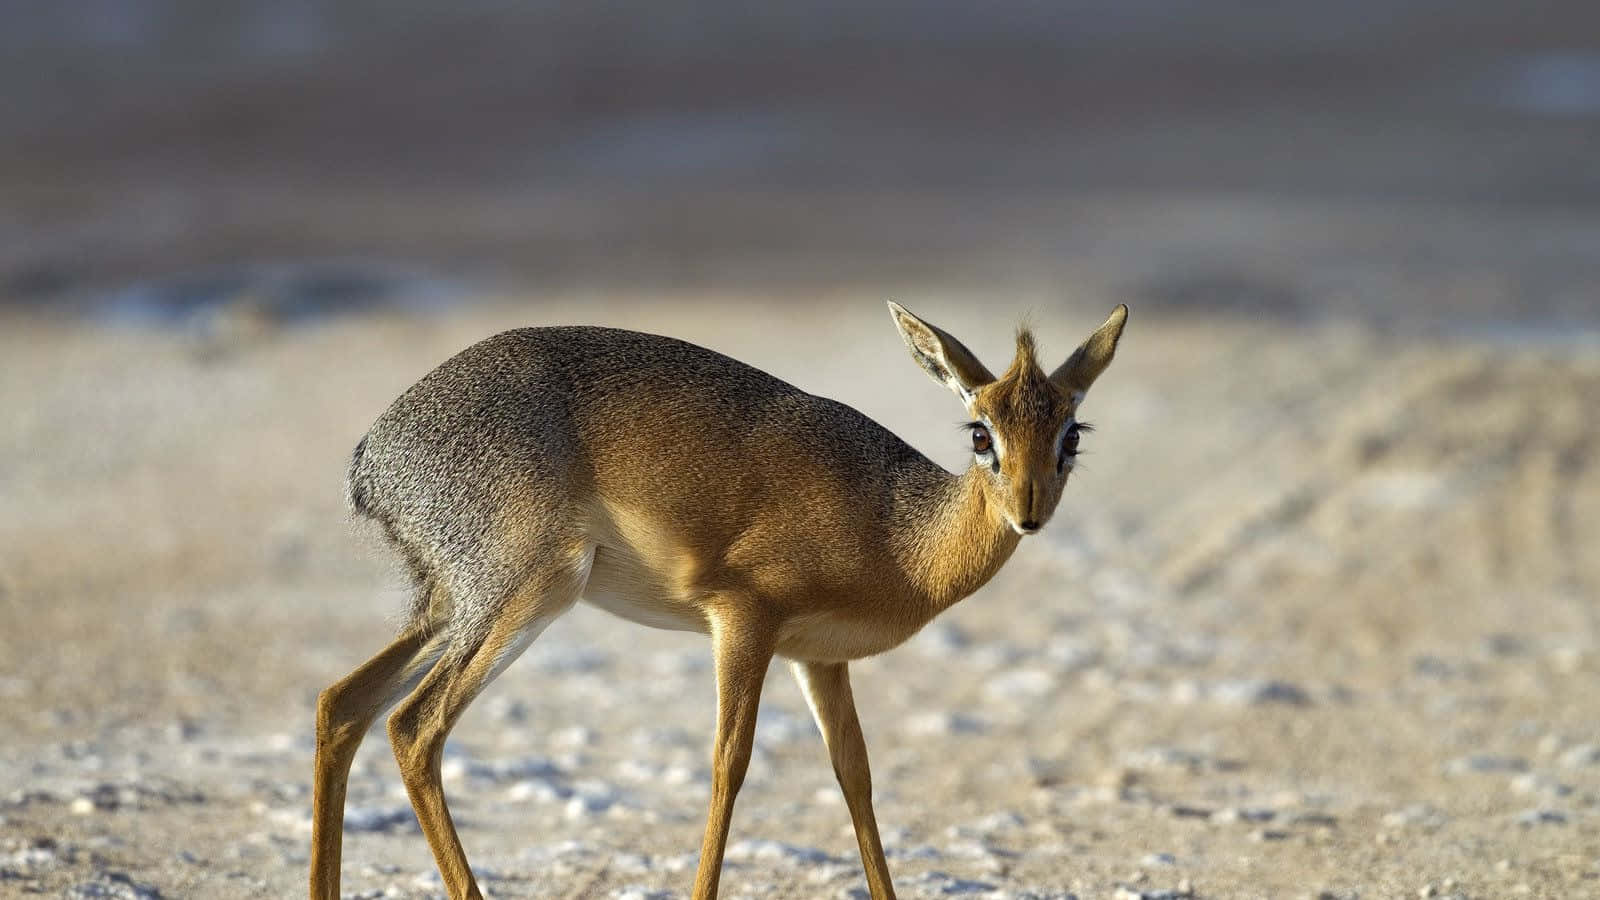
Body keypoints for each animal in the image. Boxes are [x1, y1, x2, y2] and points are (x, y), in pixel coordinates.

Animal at [308, 301, 1126, 896]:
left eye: (1071, 433)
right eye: (982, 433)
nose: (1029, 512)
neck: (896, 529)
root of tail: (373, 456)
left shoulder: (819, 659)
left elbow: (855, 776)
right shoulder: (743, 621)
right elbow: (729, 763)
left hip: (452, 605)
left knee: (343, 703)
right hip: (528, 594)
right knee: (414, 726)